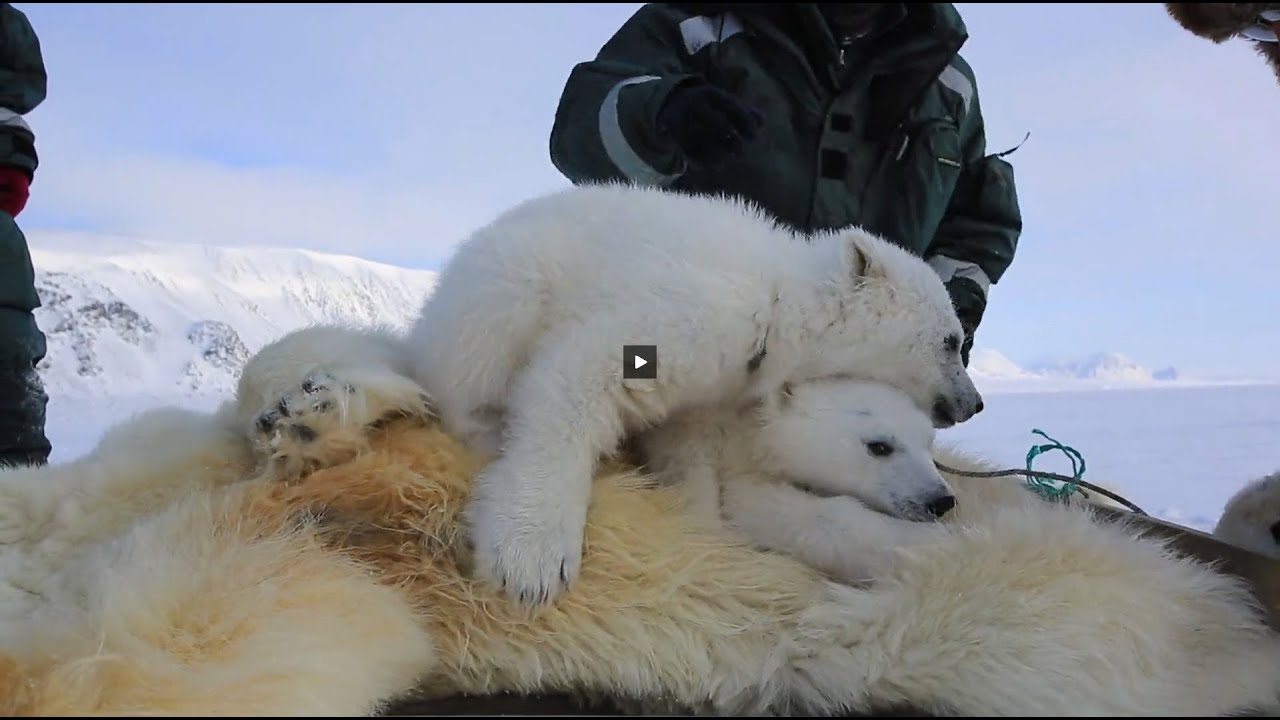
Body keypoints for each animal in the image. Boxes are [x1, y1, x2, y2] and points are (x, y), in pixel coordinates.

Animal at [404, 180, 983, 604]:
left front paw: (703, 523)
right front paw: (532, 561)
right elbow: (580, 375)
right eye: (952, 342)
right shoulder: (700, 316)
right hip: (500, 286)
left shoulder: (719, 387)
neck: (778, 299)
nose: (974, 402)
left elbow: (691, 444)